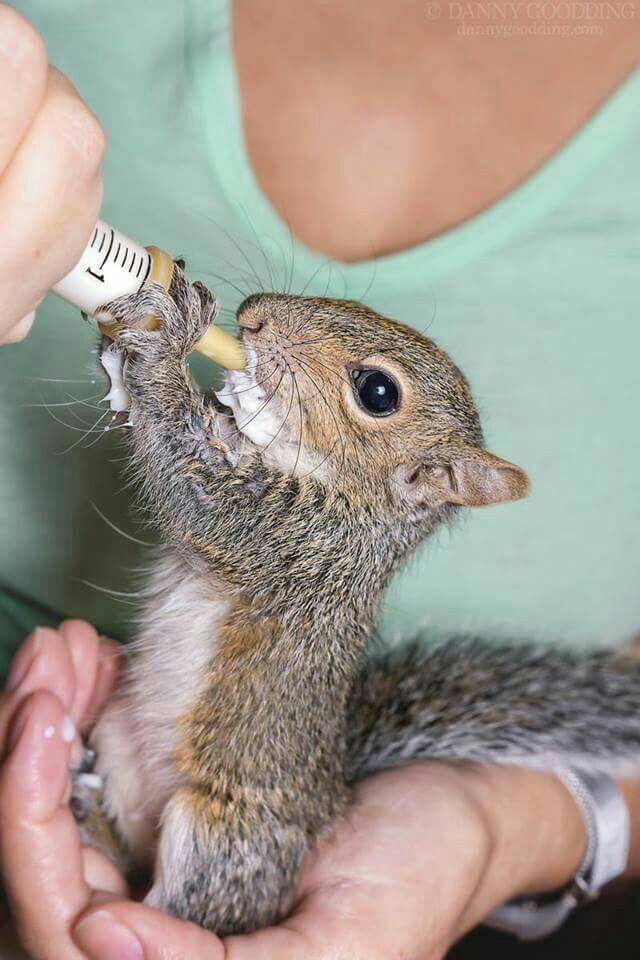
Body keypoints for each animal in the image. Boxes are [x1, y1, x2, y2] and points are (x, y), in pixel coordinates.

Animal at [77, 270, 640, 936]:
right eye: (352, 302)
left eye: (377, 391)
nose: (253, 315)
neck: (354, 501)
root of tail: (330, 801)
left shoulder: (299, 543)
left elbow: (197, 488)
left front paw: (167, 345)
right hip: (115, 736)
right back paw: (87, 810)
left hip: (222, 835)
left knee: (200, 899)